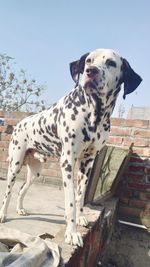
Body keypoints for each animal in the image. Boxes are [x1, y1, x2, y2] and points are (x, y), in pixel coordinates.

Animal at [0, 49, 142, 248]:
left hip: (35, 171)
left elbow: (80, 196)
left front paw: (81, 218)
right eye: (89, 60)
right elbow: (71, 201)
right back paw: (3, 214)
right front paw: (72, 233)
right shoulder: (67, 162)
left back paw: (20, 209)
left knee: (21, 190)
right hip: (15, 165)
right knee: (8, 192)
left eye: (111, 63)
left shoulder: (87, 162)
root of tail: (20, 123)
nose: (91, 71)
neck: (95, 114)